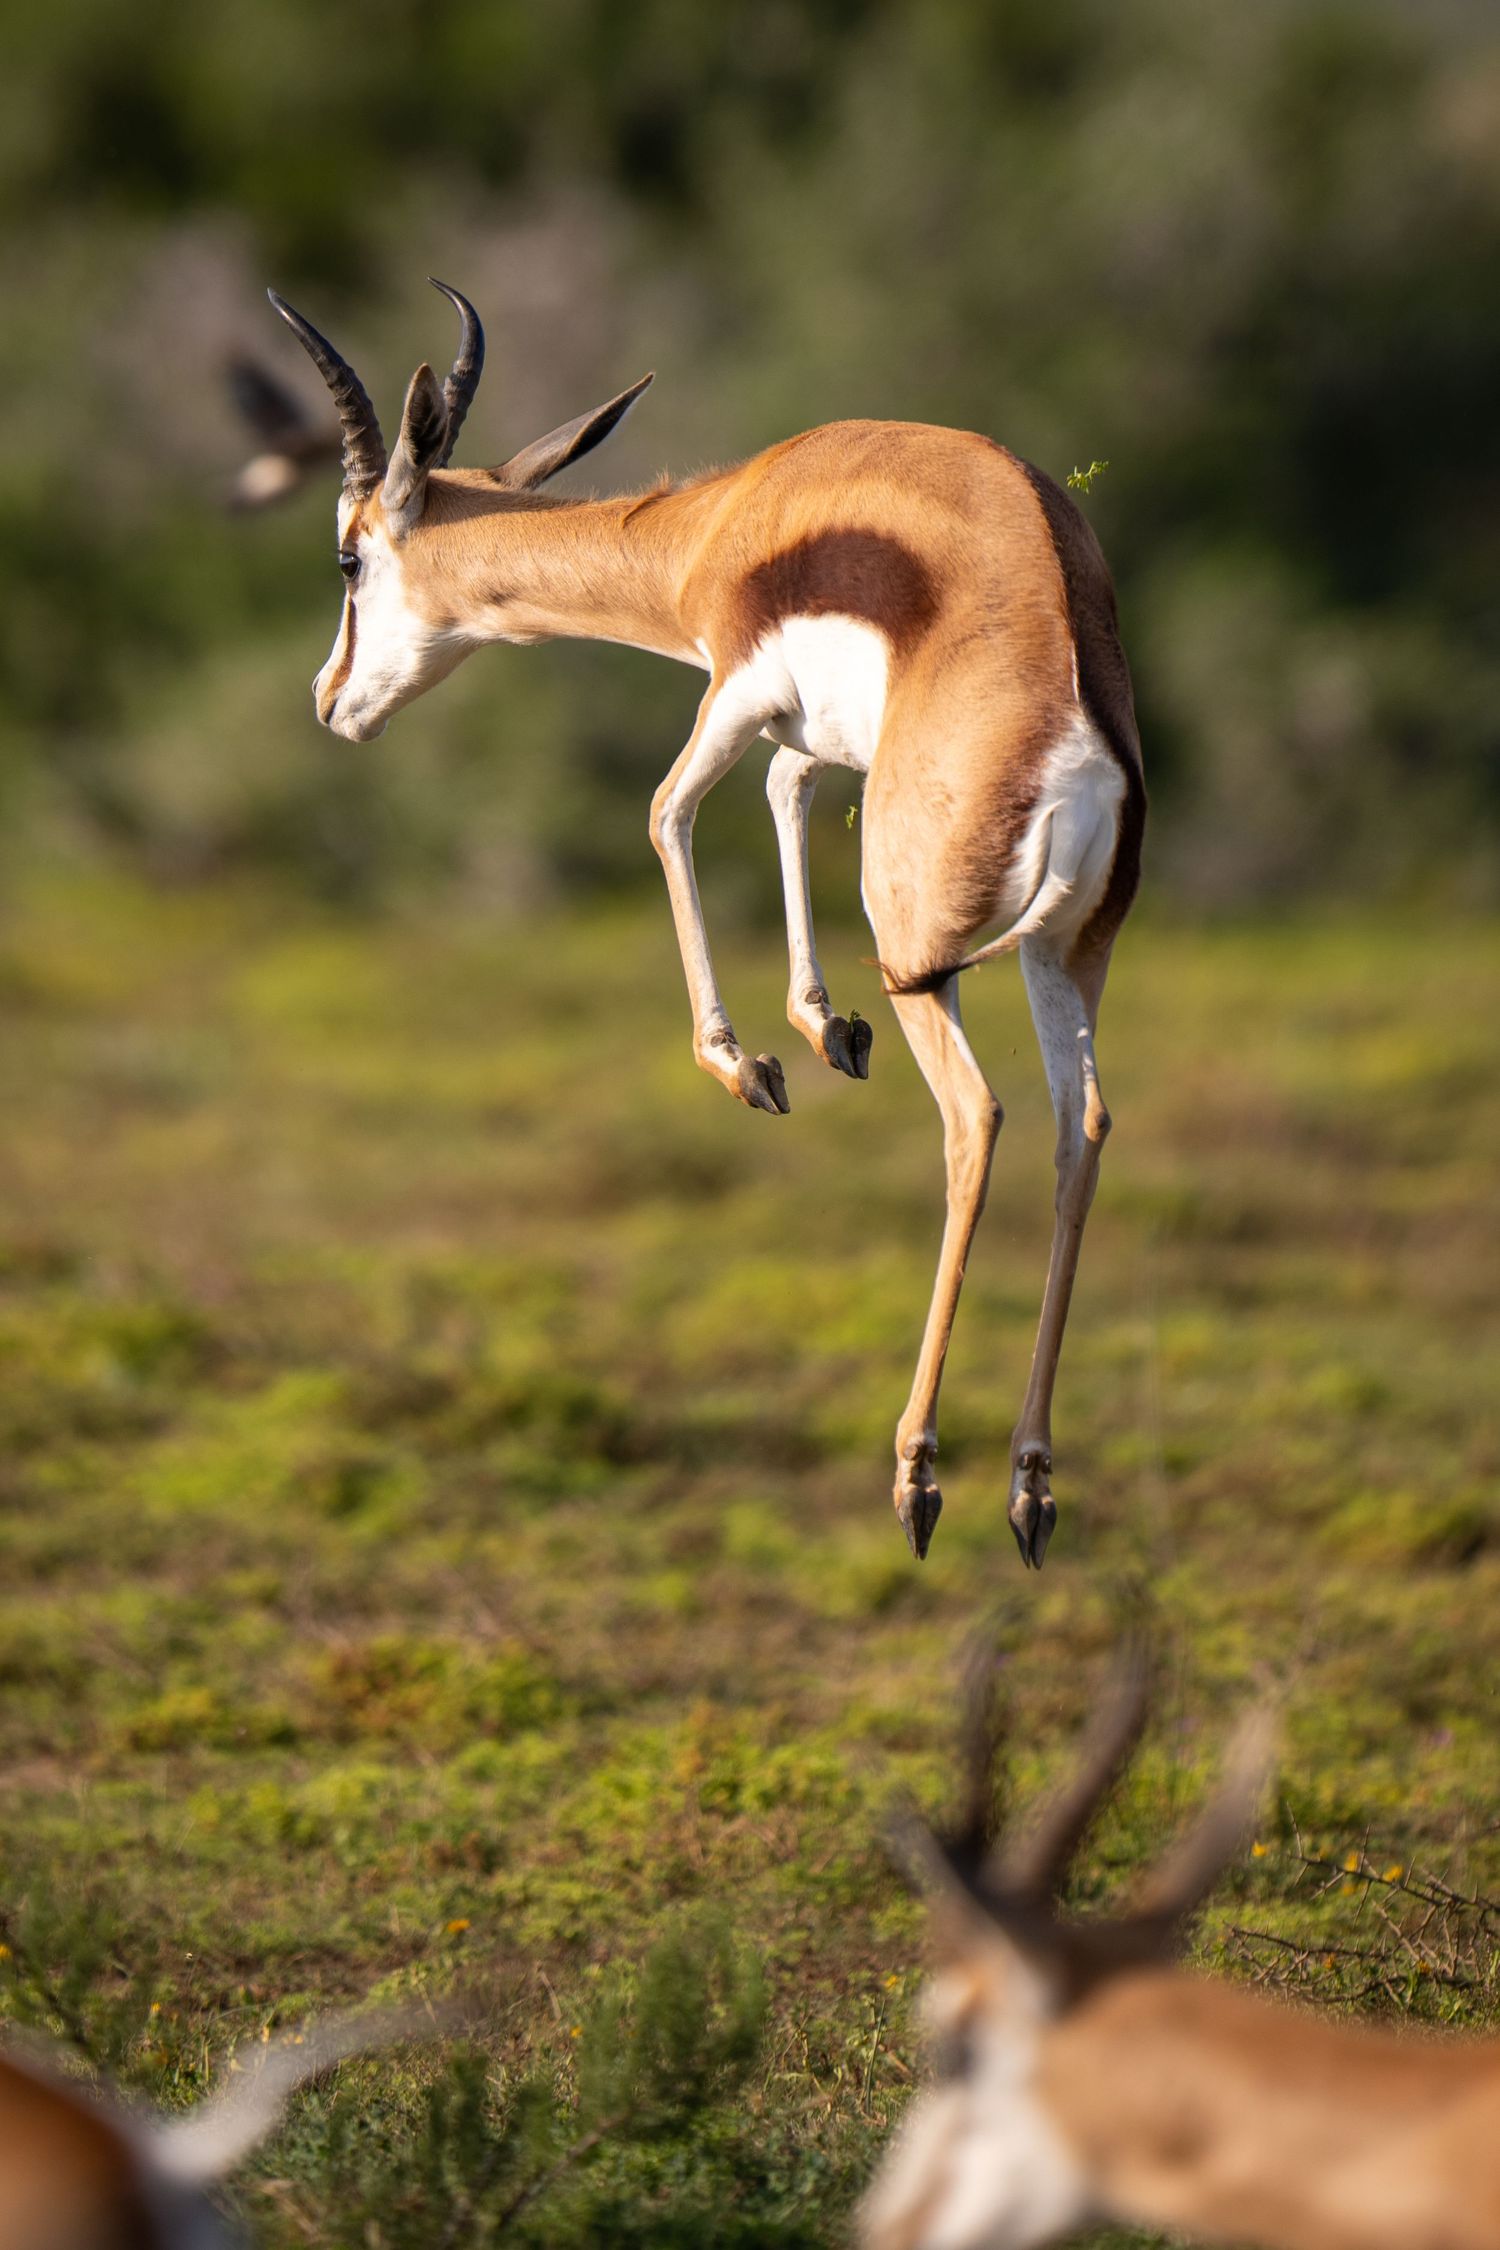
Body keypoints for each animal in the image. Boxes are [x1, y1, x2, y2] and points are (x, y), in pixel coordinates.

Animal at [270, 280, 1146, 1566]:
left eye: (347, 558)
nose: (332, 701)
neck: (723, 525)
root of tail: (1079, 736)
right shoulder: (807, 736)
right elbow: (784, 799)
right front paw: (822, 1030)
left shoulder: (736, 689)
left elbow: (666, 813)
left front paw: (746, 1065)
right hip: (1064, 955)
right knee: (1080, 1131)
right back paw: (1030, 1490)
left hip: (921, 947)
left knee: (977, 1119)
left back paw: (918, 1479)